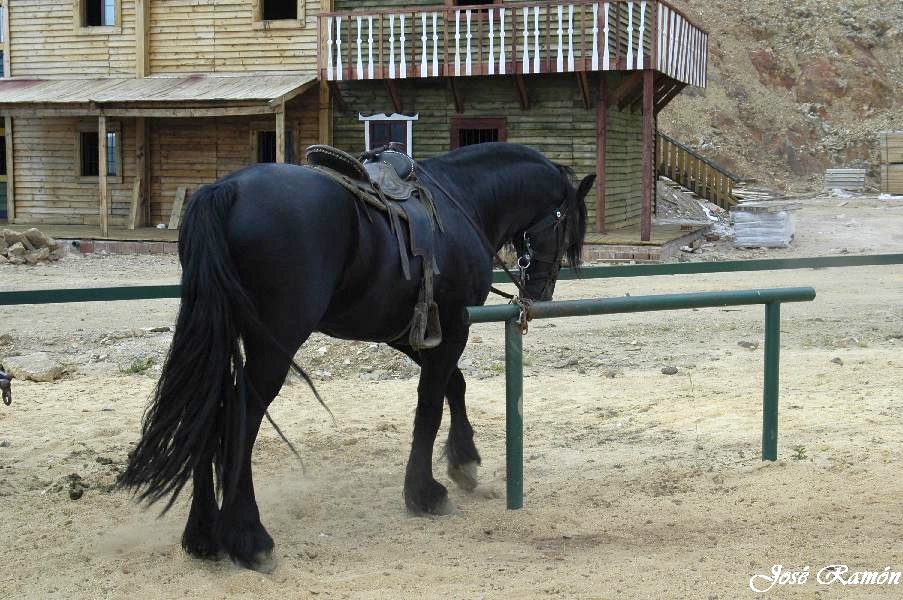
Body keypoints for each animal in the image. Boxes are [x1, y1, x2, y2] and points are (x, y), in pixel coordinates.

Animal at [122, 142, 600, 572]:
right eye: (567, 228)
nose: (541, 291)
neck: (462, 199)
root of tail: (226, 190)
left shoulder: (410, 334)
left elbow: (454, 385)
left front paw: (463, 461)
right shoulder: (452, 329)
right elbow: (429, 404)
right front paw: (424, 493)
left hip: (225, 338)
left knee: (208, 412)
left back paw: (202, 535)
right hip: (273, 347)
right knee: (239, 417)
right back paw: (248, 538)